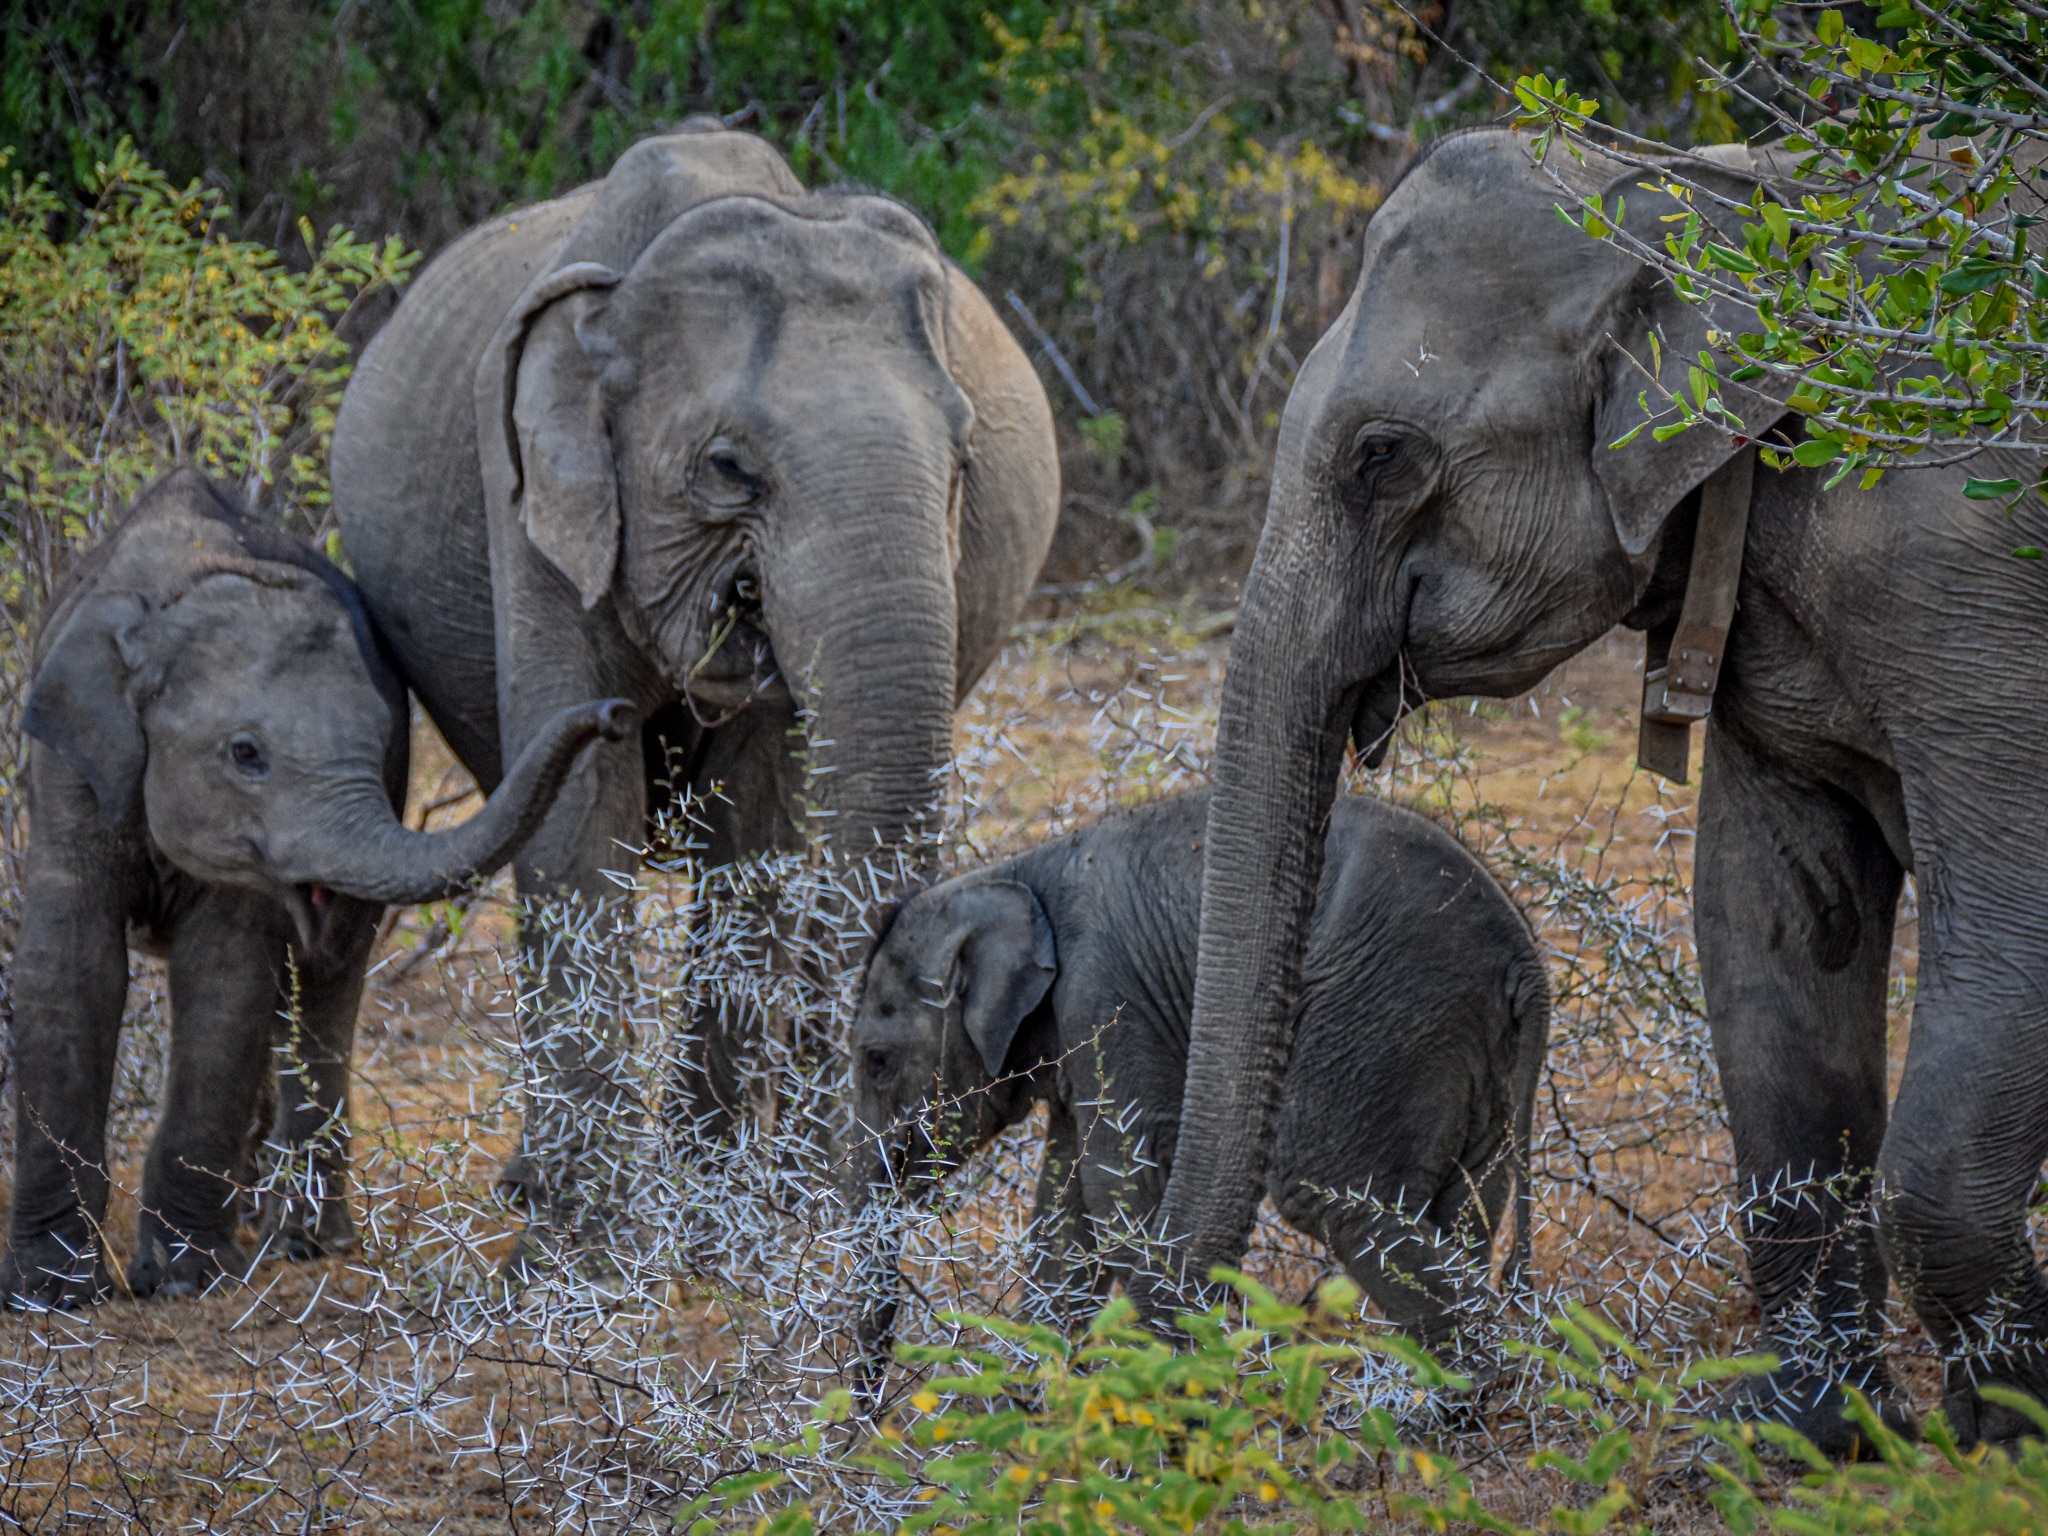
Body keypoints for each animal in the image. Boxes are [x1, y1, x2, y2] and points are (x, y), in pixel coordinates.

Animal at [1, 471, 633, 1308]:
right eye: (246, 754)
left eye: (383, 736)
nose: (618, 714)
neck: (183, 586)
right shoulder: (70, 772)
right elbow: (69, 969)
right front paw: (51, 1293)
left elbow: (226, 978)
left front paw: (186, 1283)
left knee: (321, 991)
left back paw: (302, 1242)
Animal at [328, 118, 1059, 1211]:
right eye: (726, 468)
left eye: (965, 457)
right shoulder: (535, 504)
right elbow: (579, 819)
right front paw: (579, 1224)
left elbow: (754, 830)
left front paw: (710, 1210)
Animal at [847, 789, 1547, 1355]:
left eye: (877, 1062)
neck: (1014, 874)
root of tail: (1525, 963)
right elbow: (1066, 1203)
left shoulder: (1108, 994)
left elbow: (1114, 1180)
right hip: (1470, 1046)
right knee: (1470, 1203)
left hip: (1387, 1016)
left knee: (1330, 1188)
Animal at [1159, 126, 2048, 1452]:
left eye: (1380, 458)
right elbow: (1769, 923)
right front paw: (1798, 1437)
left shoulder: (1975, 589)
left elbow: (2009, 911)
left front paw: (2000, 1445)